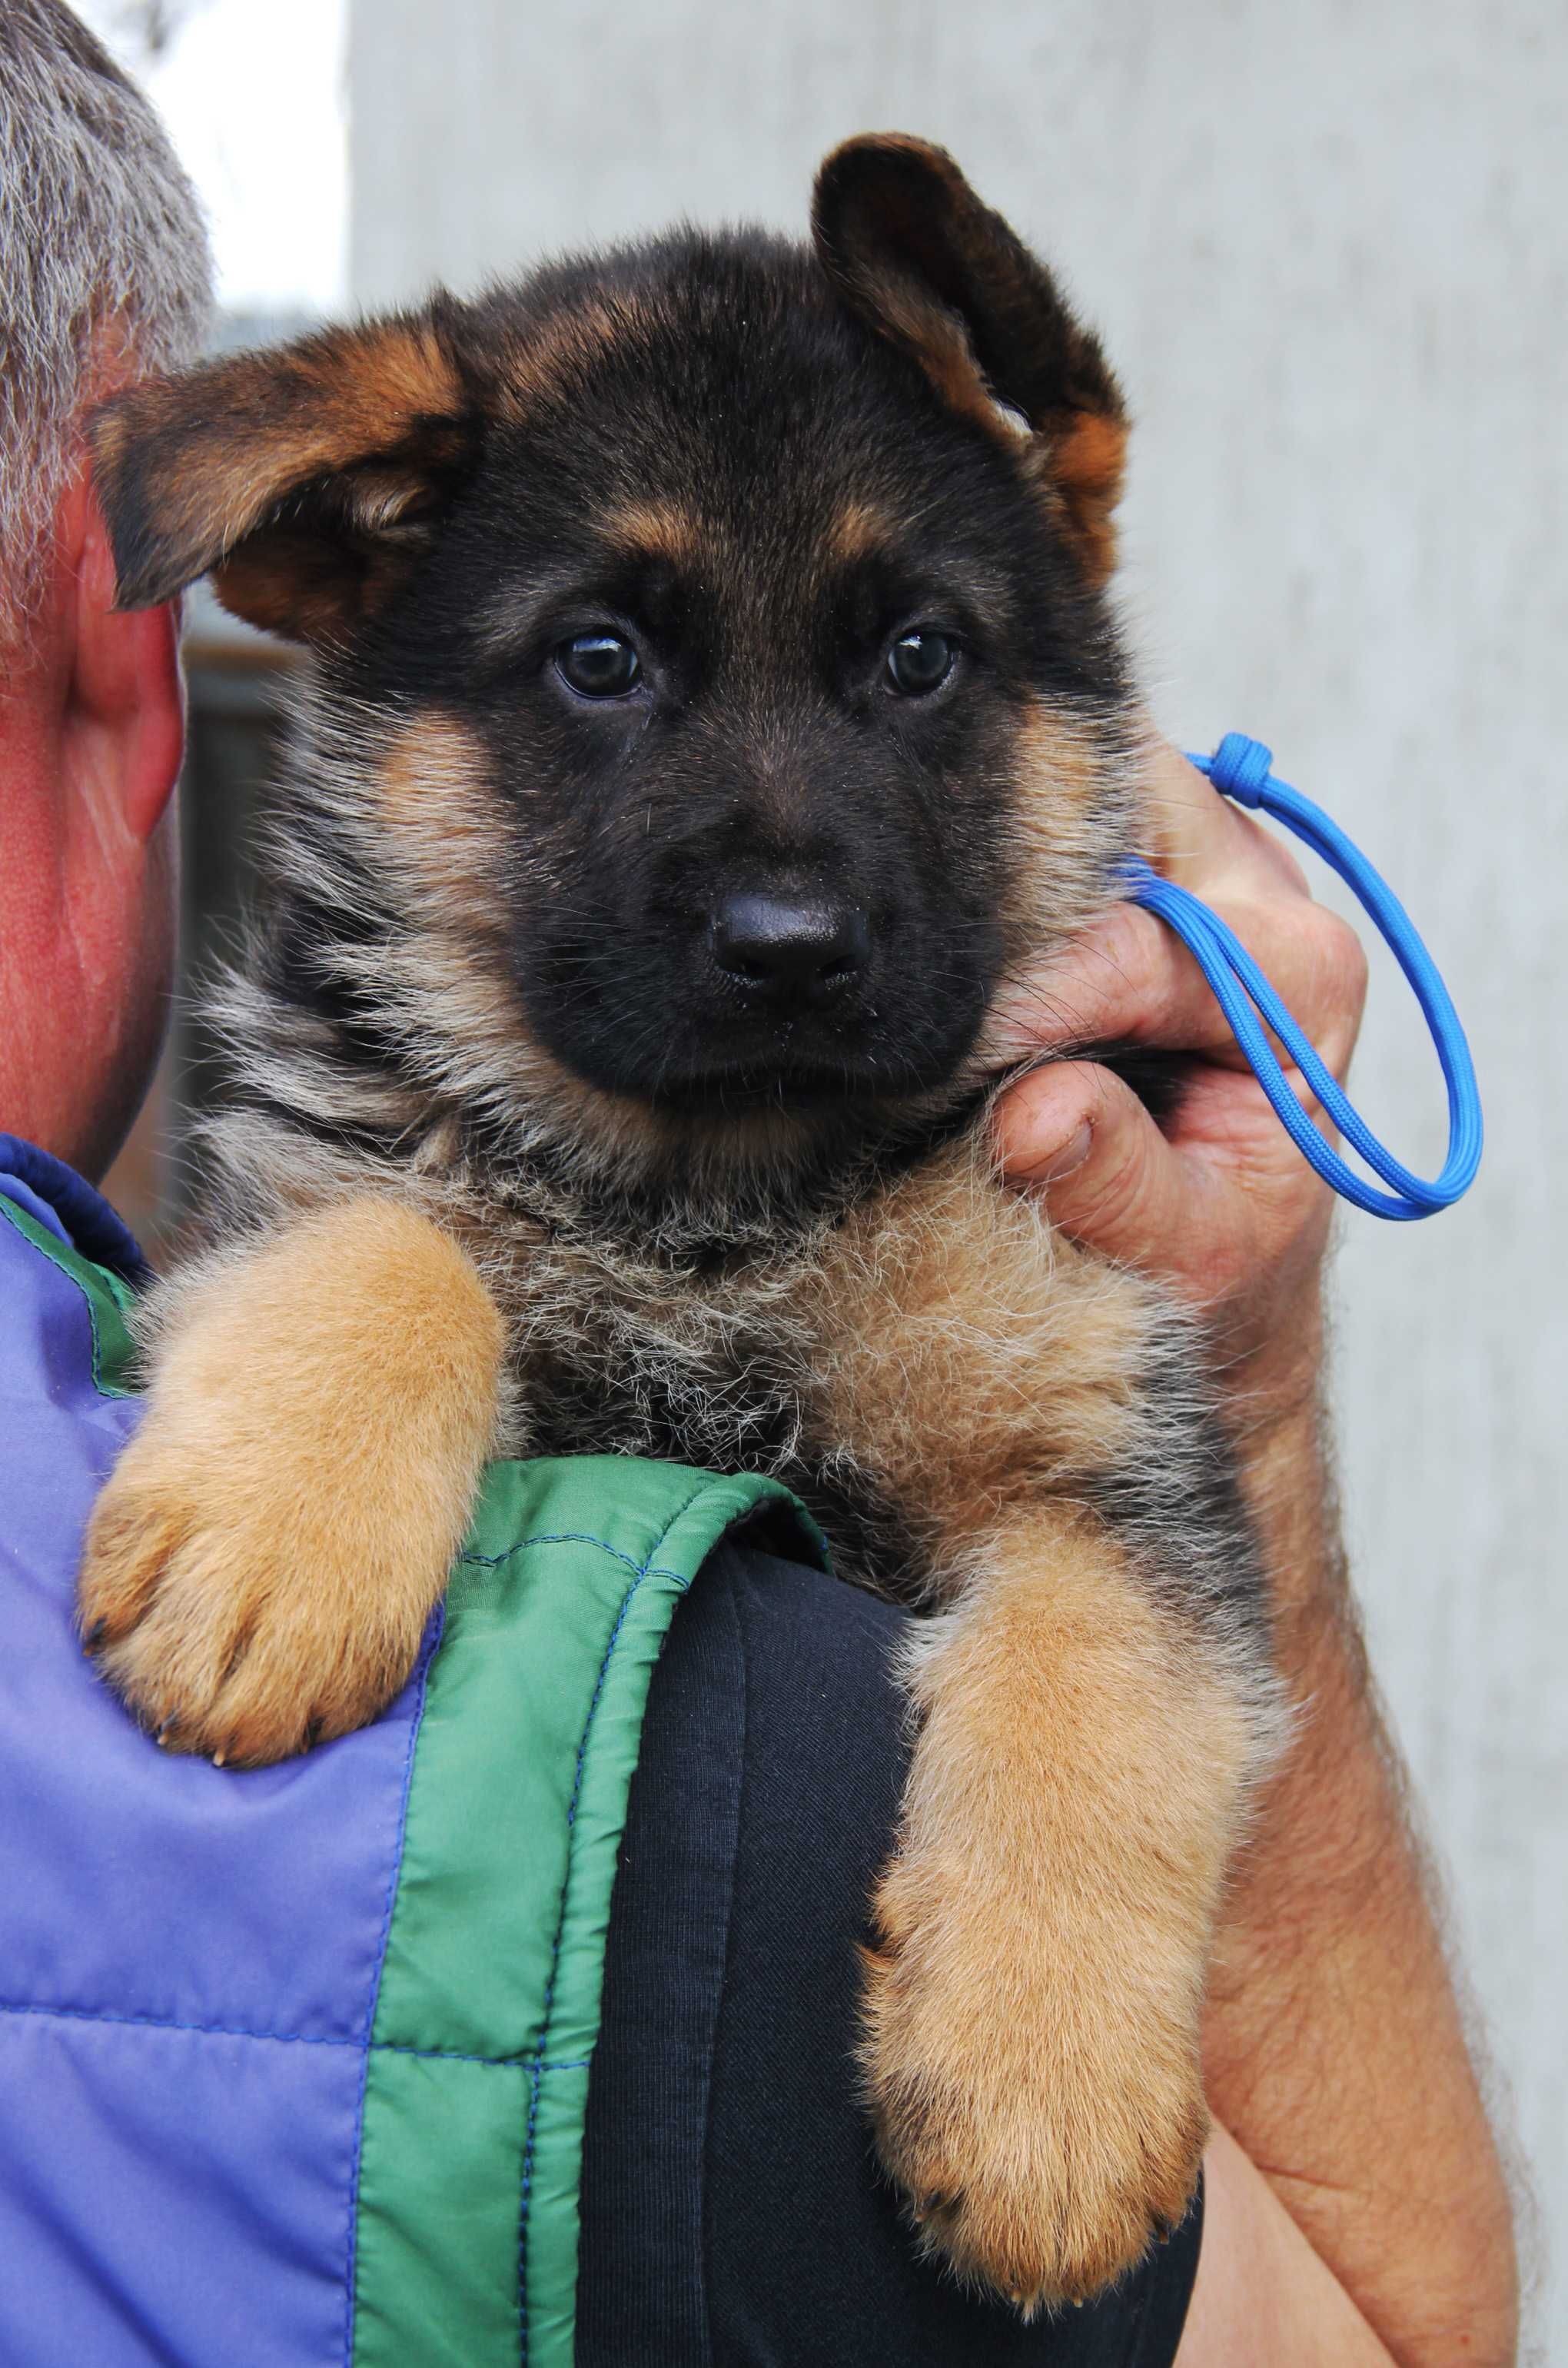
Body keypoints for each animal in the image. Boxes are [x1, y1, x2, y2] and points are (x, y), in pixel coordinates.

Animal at [85, 138, 1288, 2301]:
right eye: (599, 660)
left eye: (919, 657)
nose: (788, 949)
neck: (714, 1202)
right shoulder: (283, 1167)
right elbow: (391, 1239)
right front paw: (280, 1539)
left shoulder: (1110, 1439)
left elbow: (1112, 1686)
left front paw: (1046, 2087)